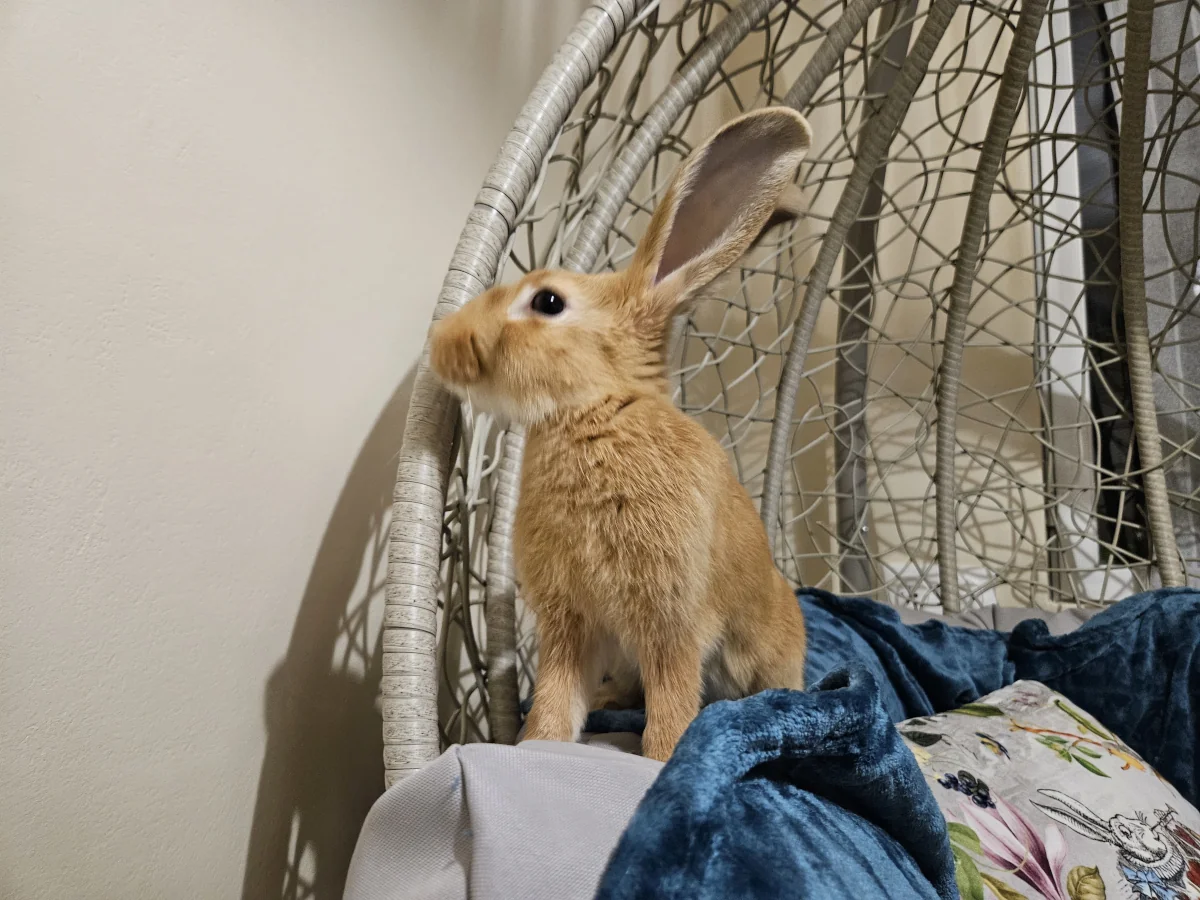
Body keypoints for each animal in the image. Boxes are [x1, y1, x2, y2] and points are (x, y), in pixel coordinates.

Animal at [428, 107, 812, 761]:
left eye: (547, 301)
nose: (440, 343)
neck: (596, 411)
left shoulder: (671, 620)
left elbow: (673, 699)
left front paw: (661, 759)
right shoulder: (568, 624)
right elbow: (556, 694)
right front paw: (539, 746)